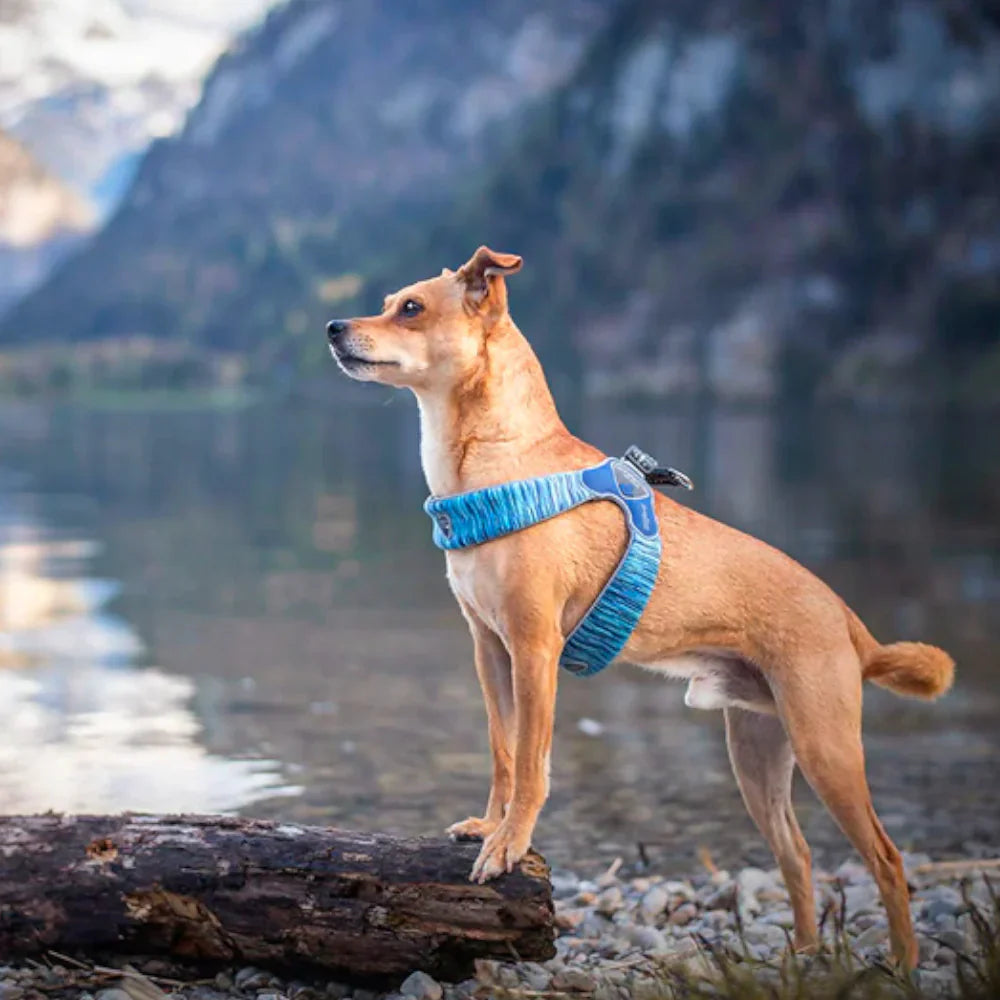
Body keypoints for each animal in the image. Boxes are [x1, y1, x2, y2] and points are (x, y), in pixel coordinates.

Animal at [326, 244, 952, 968]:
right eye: (389, 302)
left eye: (411, 308)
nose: (333, 327)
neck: (502, 460)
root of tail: (850, 622)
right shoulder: (490, 651)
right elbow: (503, 754)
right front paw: (491, 824)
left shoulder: (534, 650)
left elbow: (531, 764)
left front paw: (509, 844)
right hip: (758, 754)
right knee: (796, 856)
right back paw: (800, 955)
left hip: (826, 747)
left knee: (887, 858)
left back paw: (902, 966)